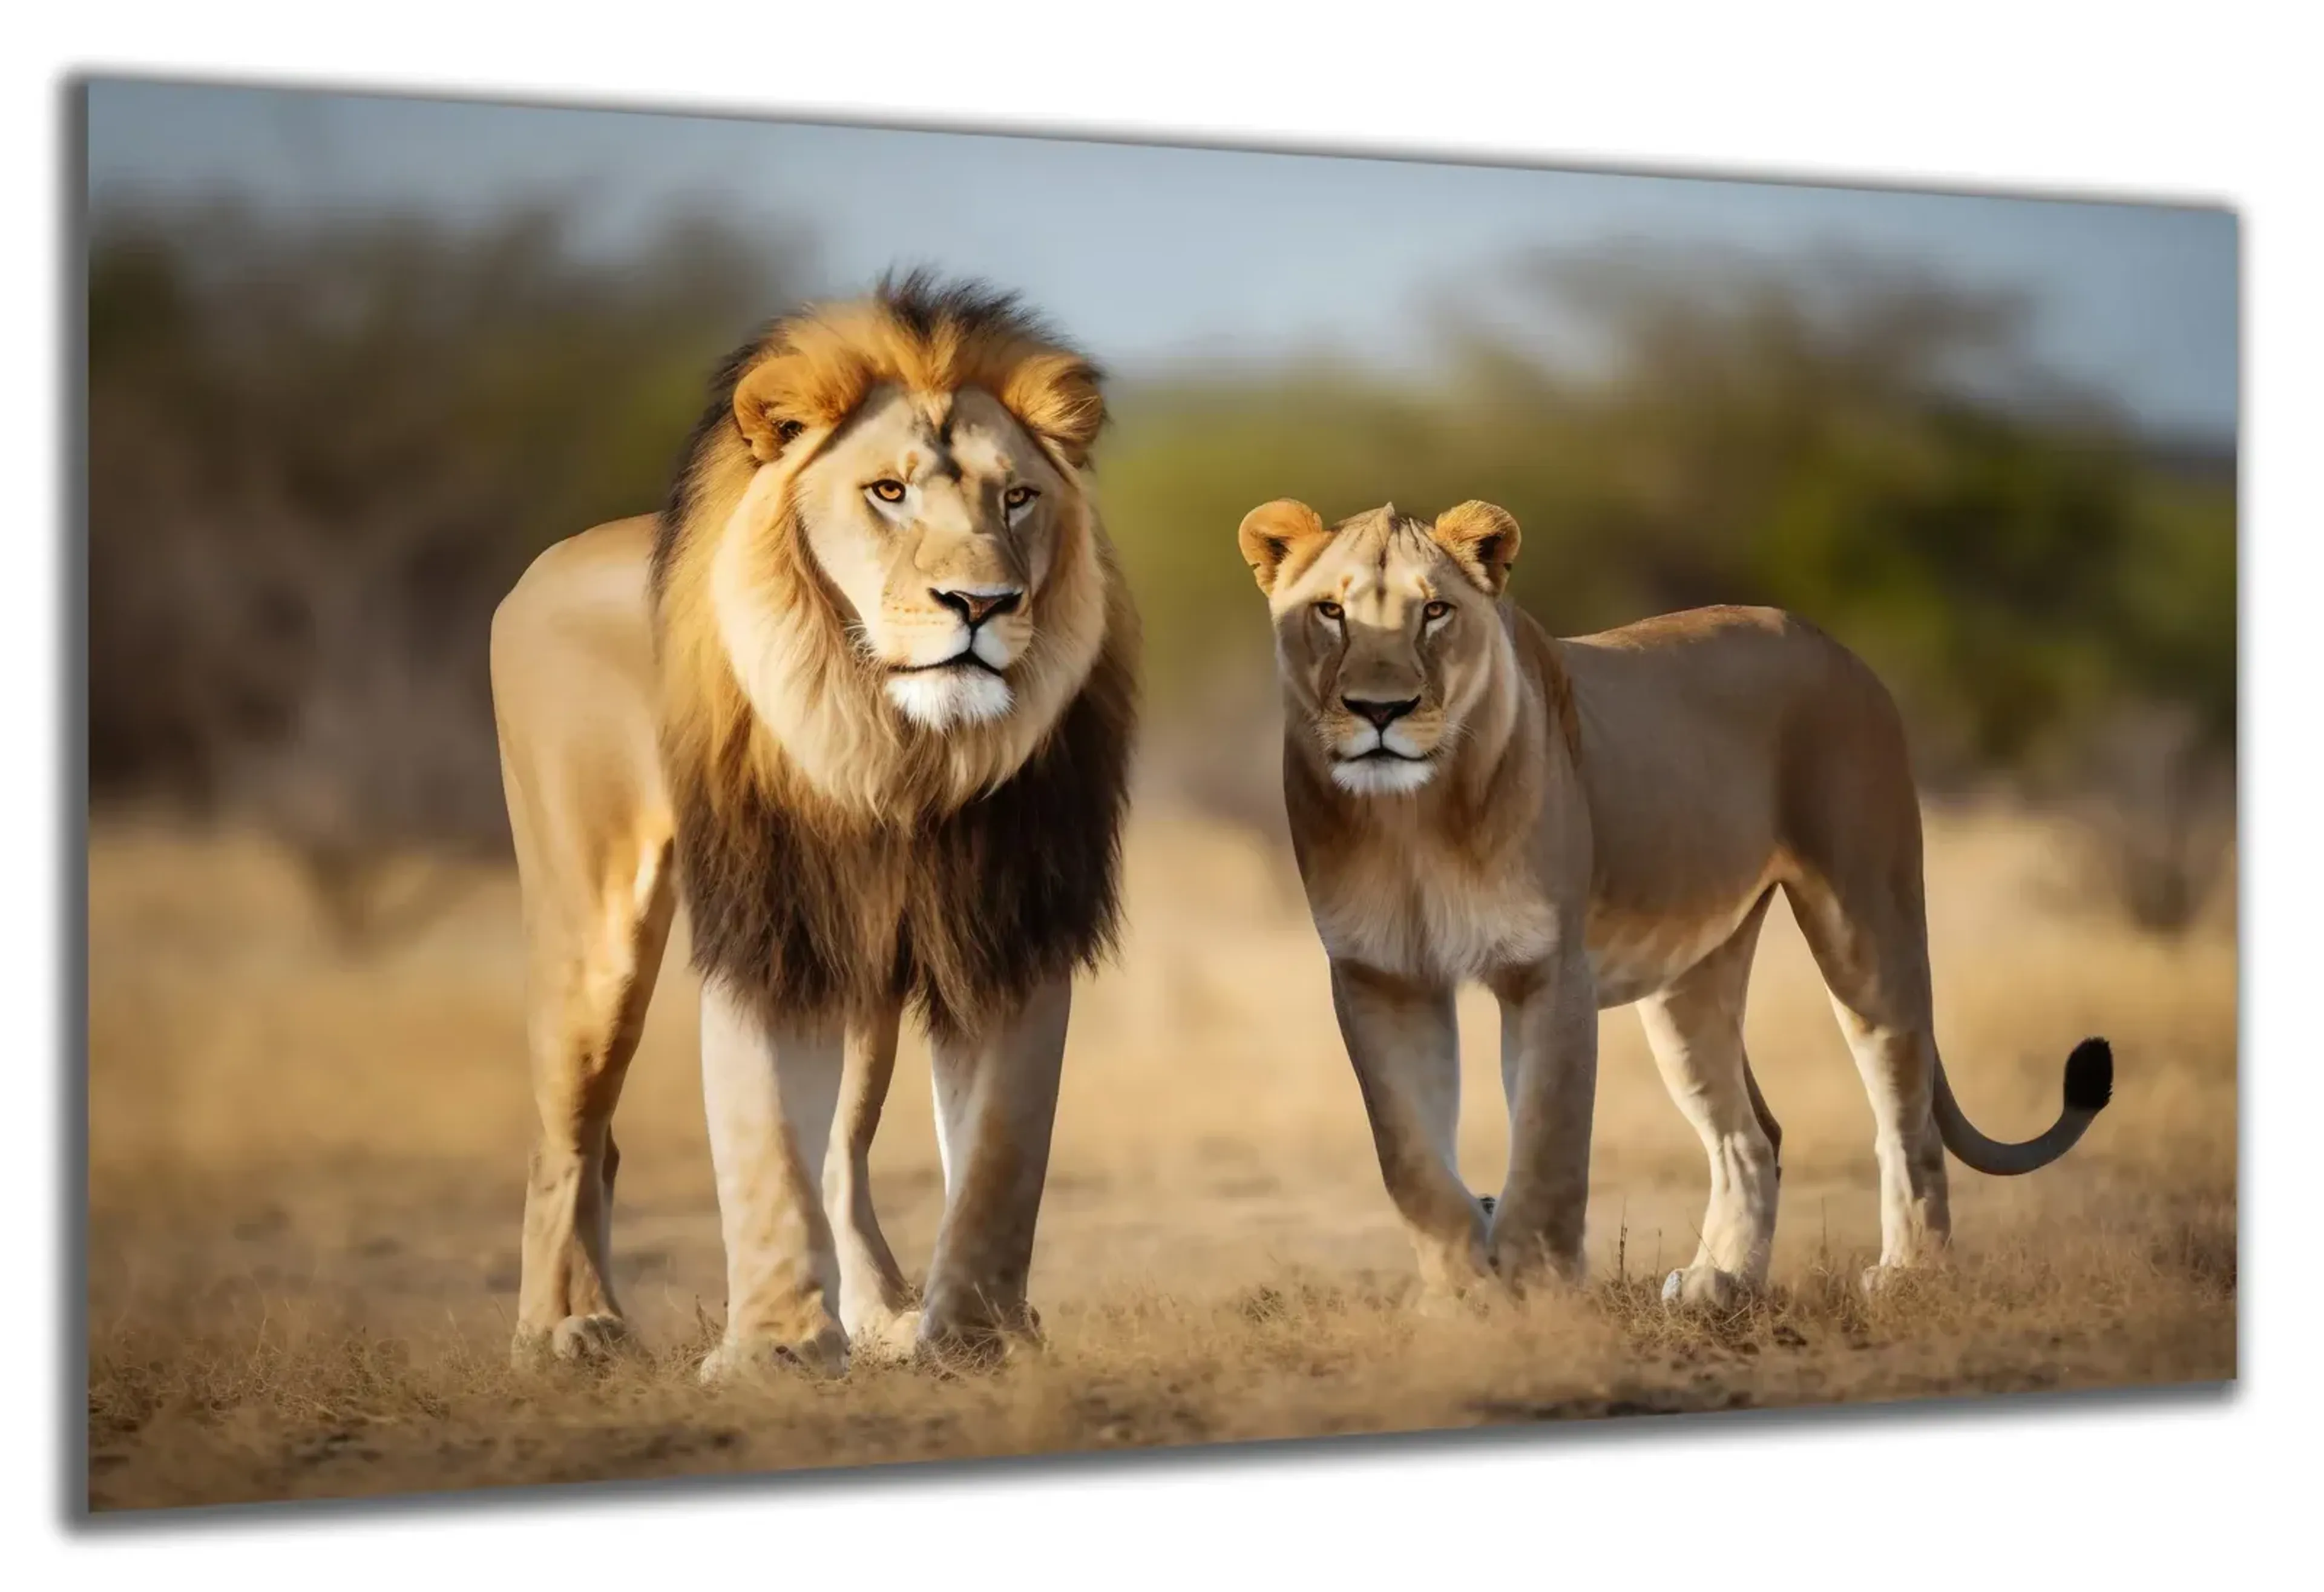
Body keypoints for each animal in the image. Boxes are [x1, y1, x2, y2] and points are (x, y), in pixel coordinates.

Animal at [488, 272, 1136, 1379]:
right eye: (889, 493)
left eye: (1017, 497)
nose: (981, 602)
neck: (902, 750)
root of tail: (541, 567)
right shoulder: (770, 926)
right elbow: (763, 1147)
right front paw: (774, 1354)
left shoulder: (1005, 927)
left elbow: (999, 1156)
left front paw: (978, 1338)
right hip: (593, 927)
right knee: (567, 1138)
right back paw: (565, 1330)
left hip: (865, 960)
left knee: (838, 1150)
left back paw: (882, 1315)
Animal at [1236, 496, 2112, 1309]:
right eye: (1331, 611)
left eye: (1436, 611)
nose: (1379, 710)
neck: (1413, 814)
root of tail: (1832, 643)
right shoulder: (1379, 976)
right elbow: (1410, 1155)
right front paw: (1462, 1295)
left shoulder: (1550, 969)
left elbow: (1549, 1145)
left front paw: (1537, 1288)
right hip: (1692, 976)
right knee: (1750, 1134)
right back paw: (1718, 1282)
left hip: (1866, 918)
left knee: (1906, 1106)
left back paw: (1910, 1272)